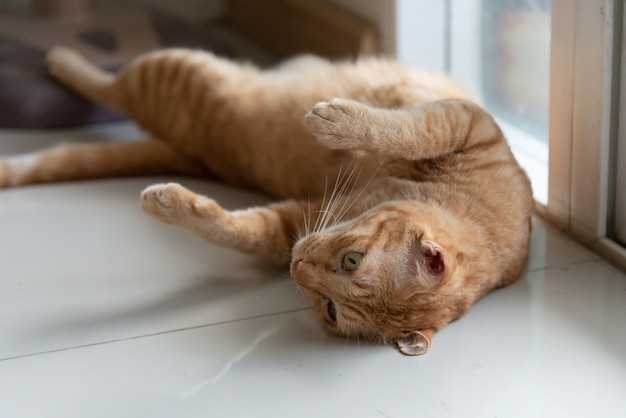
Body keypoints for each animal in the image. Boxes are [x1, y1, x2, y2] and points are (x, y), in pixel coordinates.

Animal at [0, 48, 532, 356]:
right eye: (352, 259)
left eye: (330, 311)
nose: (297, 269)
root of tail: (197, 154)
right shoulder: (469, 122)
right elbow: (405, 127)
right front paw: (335, 122)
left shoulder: (293, 224)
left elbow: (233, 228)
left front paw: (169, 204)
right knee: (107, 86)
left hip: (173, 78)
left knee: (111, 89)